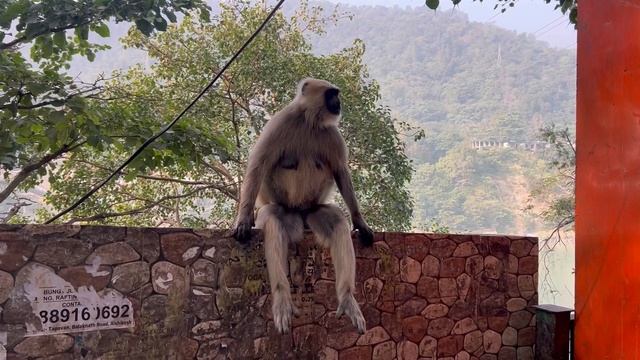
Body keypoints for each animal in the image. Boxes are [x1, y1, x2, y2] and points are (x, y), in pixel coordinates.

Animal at [234, 77, 376, 334]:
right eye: (332, 95)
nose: (338, 103)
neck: (310, 122)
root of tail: (300, 212)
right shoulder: (281, 122)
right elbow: (258, 165)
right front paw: (243, 219)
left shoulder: (332, 134)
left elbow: (340, 171)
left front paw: (360, 222)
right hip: (283, 207)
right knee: (275, 220)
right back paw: (282, 299)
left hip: (314, 209)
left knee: (337, 223)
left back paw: (347, 299)